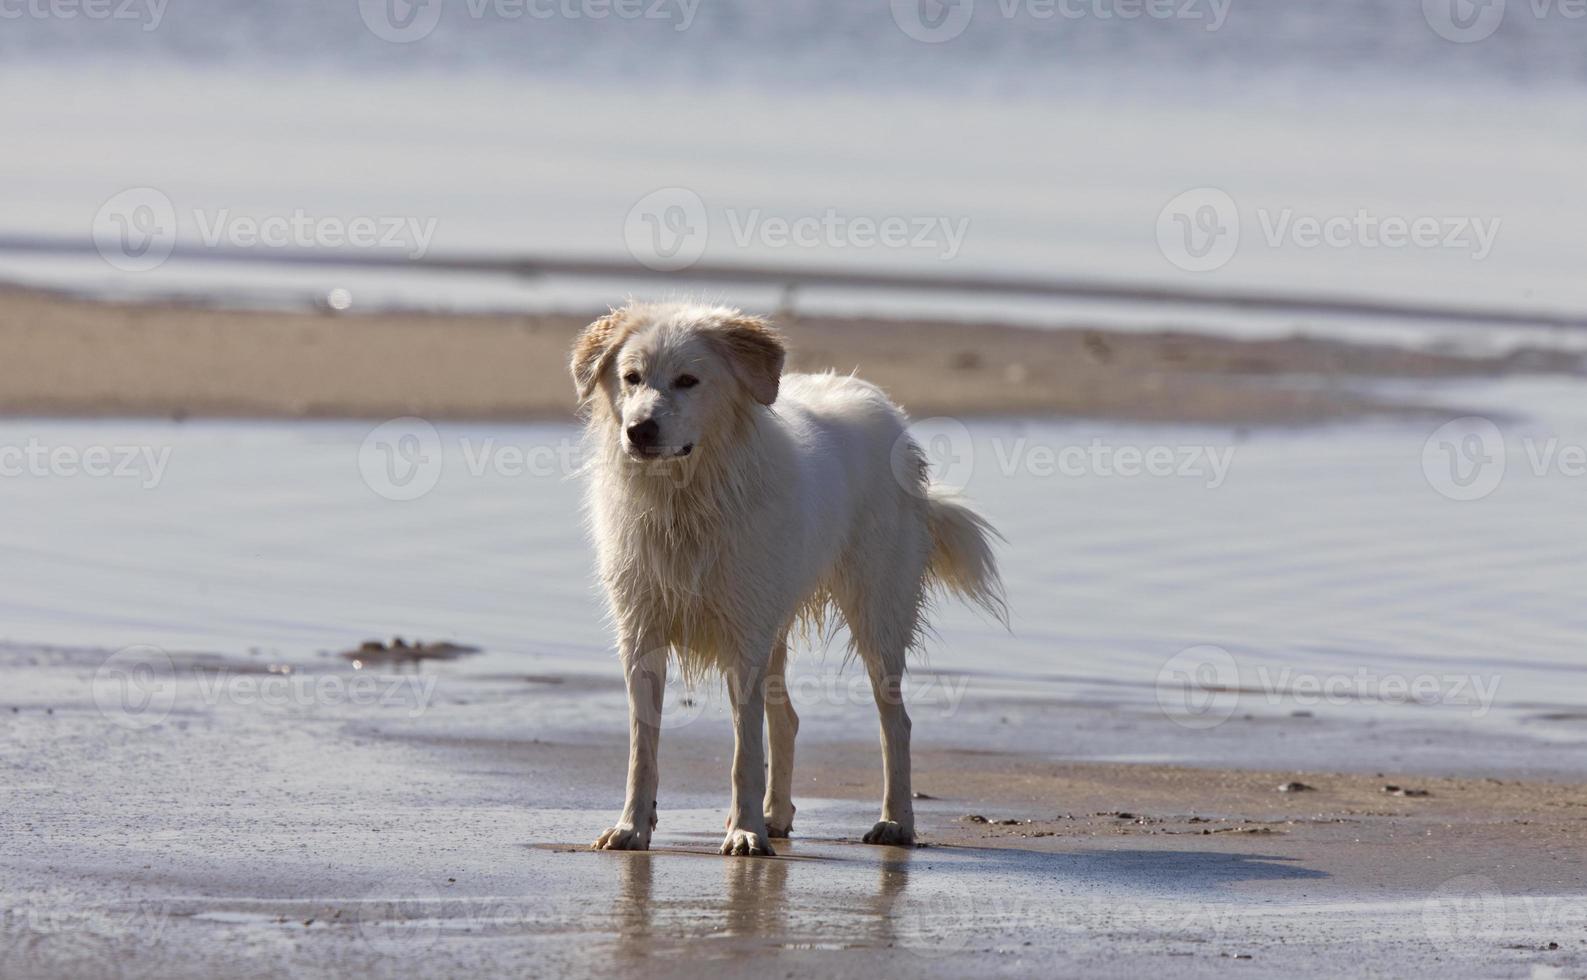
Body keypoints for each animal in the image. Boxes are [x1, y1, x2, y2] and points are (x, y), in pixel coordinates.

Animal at [574, 299, 1002, 856]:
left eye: (688, 380)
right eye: (631, 377)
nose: (639, 430)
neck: (685, 499)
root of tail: (887, 410)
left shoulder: (744, 639)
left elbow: (744, 751)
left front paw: (744, 832)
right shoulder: (642, 631)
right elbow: (642, 749)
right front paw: (632, 828)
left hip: (876, 613)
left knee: (896, 721)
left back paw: (895, 822)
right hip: (777, 614)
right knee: (788, 720)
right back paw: (777, 816)